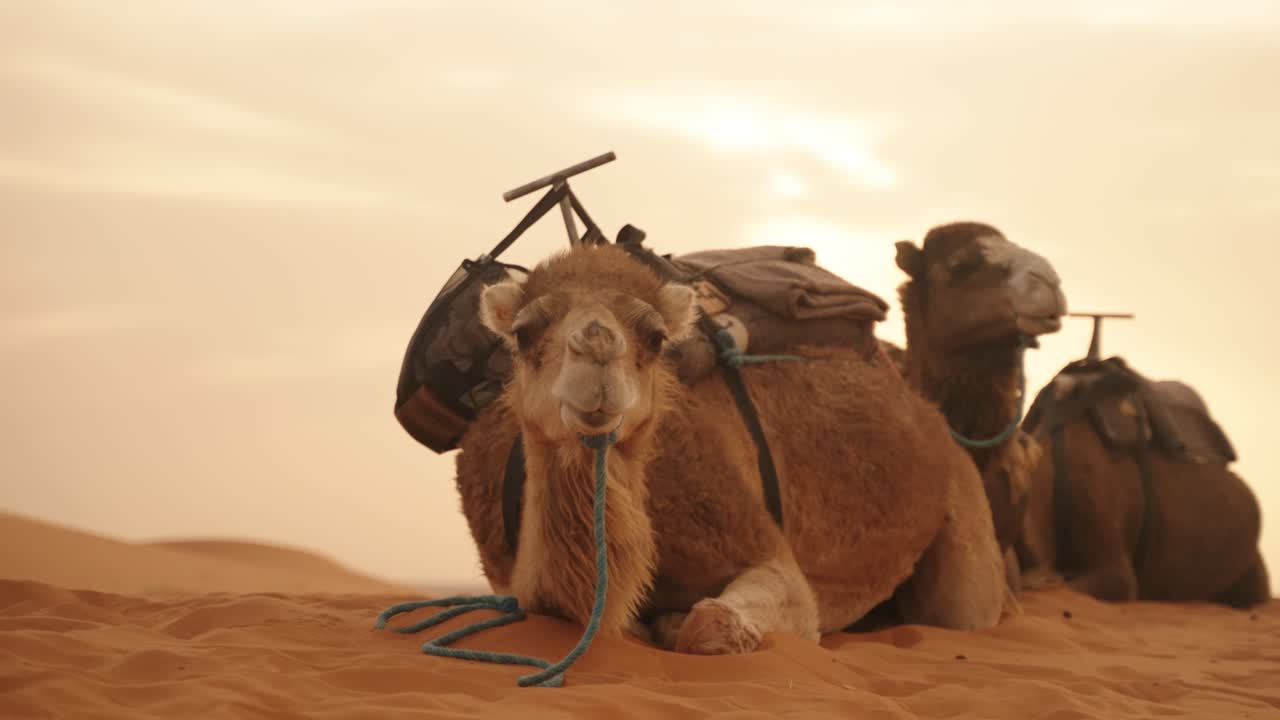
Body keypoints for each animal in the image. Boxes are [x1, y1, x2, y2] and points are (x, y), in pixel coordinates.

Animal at [454, 243, 1007, 654]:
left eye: (656, 338)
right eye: (524, 333)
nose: (597, 346)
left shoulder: (754, 539)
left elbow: (714, 623)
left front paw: (676, 623)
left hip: (963, 513)